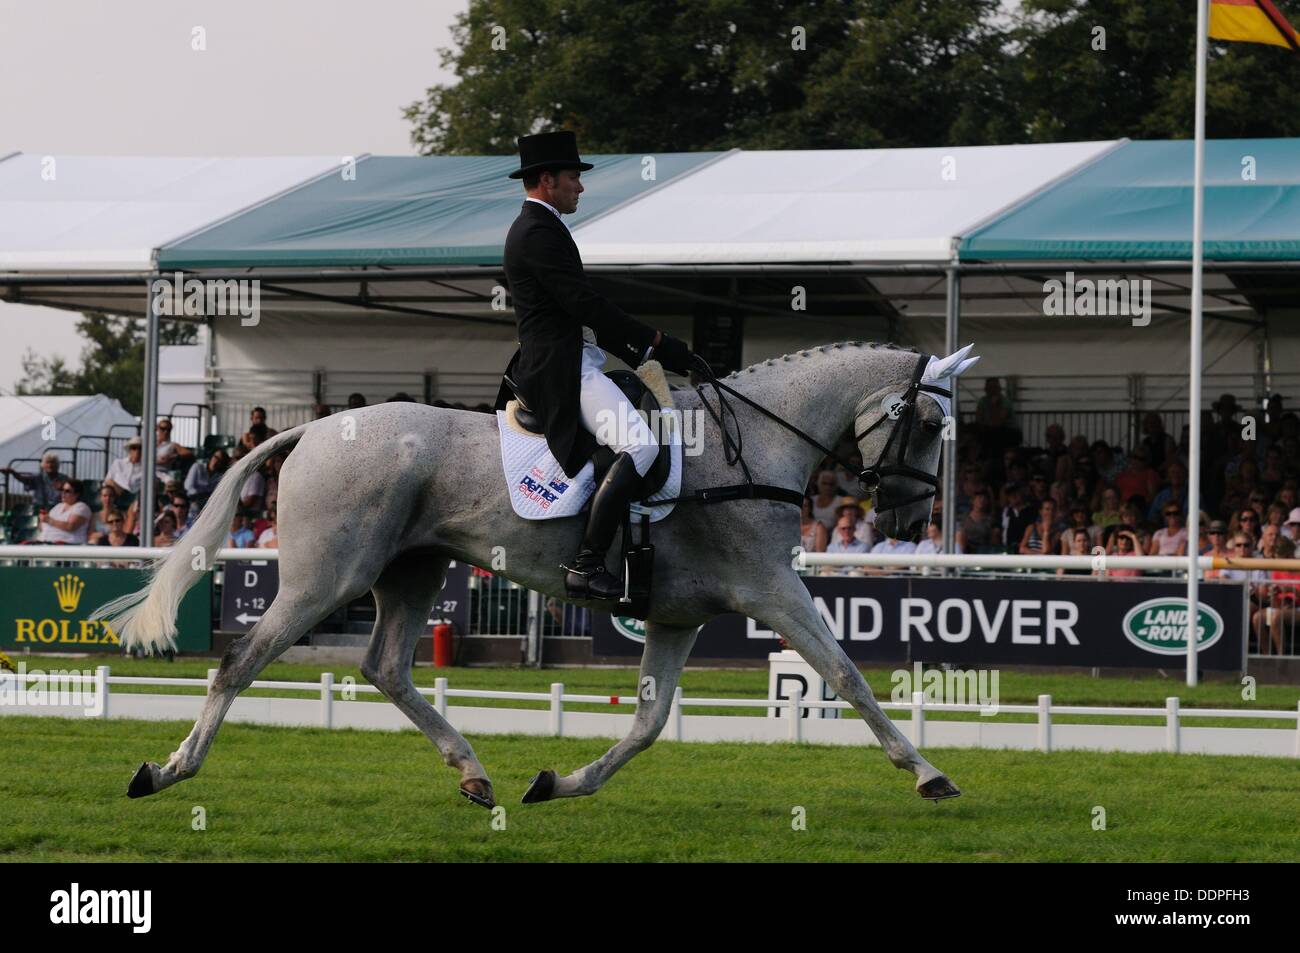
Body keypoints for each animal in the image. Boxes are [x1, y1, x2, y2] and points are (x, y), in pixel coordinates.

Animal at [96, 338, 977, 806]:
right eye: (929, 422)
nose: (907, 522)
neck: (749, 448)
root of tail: (311, 430)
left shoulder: (675, 616)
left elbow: (648, 721)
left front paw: (563, 783)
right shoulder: (774, 590)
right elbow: (847, 675)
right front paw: (928, 772)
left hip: (411, 573)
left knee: (386, 667)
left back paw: (475, 773)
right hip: (326, 579)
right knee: (240, 661)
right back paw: (166, 770)